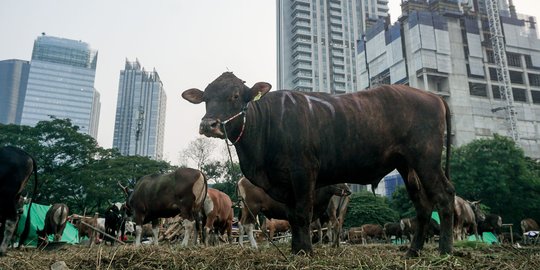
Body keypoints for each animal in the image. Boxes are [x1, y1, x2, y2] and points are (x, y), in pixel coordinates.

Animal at [182, 71, 456, 255]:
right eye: (206, 97)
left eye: (236, 95)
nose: (209, 124)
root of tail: (432, 96)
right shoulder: (284, 182)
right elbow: (292, 216)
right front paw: (296, 250)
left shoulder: (303, 173)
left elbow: (302, 214)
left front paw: (305, 251)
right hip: (408, 165)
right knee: (422, 205)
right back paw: (413, 251)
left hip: (426, 160)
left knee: (444, 196)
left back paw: (445, 250)